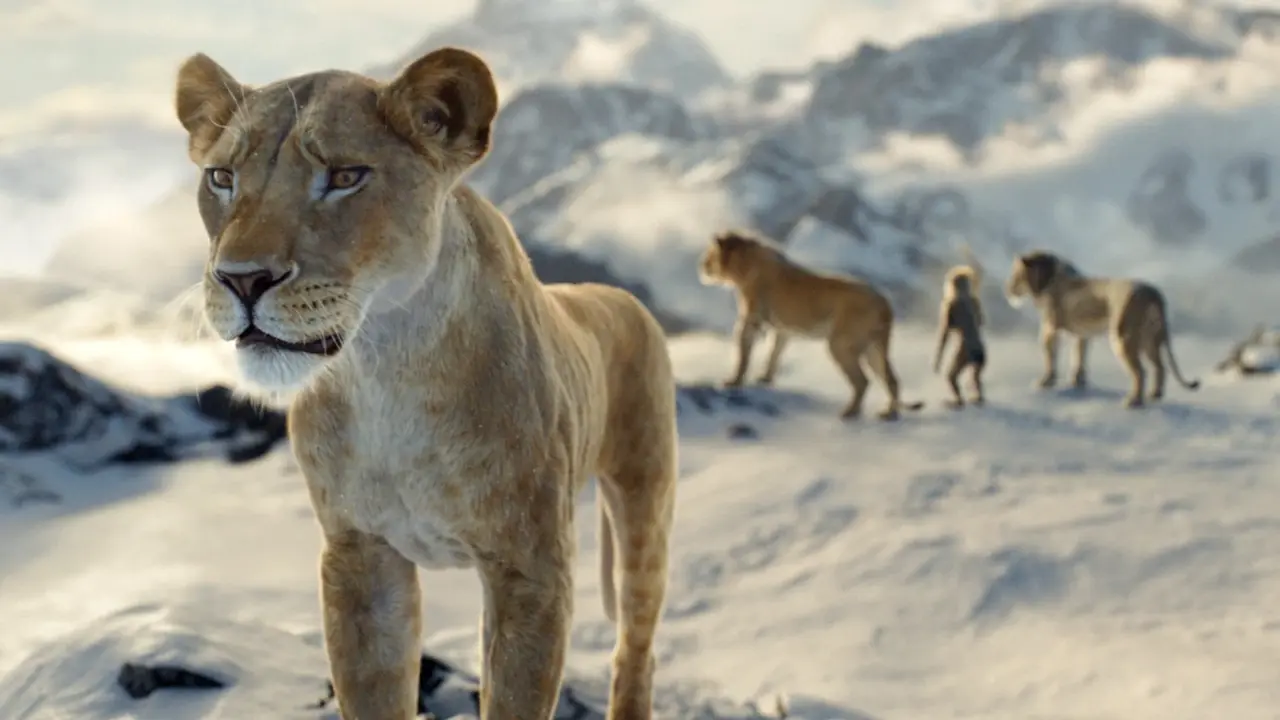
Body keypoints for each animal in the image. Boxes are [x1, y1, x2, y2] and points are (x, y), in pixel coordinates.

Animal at [175, 47, 677, 720]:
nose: (241, 279)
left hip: (645, 504)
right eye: (222, 177)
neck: (388, 368)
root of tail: (622, 297)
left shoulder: (531, 570)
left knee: (636, 648)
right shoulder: (359, 558)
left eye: (345, 176)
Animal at [697, 229, 924, 420]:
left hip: (841, 344)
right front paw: (765, 379)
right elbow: (774, 353)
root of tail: (884, 303)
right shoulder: (782, 330)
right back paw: (889, 414)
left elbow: (744, 354)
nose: (701, 267)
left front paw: (733, 382)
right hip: (874, 347)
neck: (745, 265)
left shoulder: (751, 321)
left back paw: (849, 413)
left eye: (709, 254)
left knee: (863, 381)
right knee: (892, 380)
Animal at [933, 246, 987, 409]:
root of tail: (977, 353)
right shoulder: (975, 300)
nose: (946, 283)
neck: (962, 294)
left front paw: (937, 363)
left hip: (965, 355)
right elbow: (981, 320)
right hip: (981, 357)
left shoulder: (949, 305)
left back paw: (958, 401)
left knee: (952, 375)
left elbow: (944, 332)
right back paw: (978, 397)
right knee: (976, 376)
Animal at [1004, 250, 1201, 408]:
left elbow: (1050, 357)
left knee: (1140, 372)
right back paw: (1155, 395)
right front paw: (1077, 382)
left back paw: (1134, 401)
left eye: (1015, 275)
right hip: (1151, 339)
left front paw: (1045, 382)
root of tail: (1153, 292)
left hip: (1123, 338)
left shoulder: (1049, 329)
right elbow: (1079, 356)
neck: (1047, 278)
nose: (1007, 290)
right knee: (1159, 367)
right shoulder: (1082, 334)